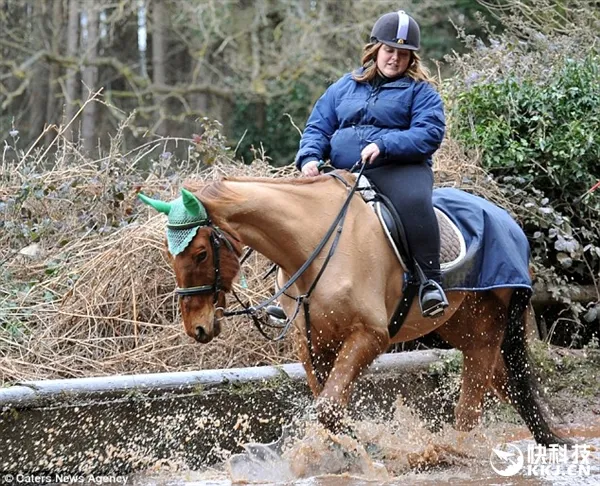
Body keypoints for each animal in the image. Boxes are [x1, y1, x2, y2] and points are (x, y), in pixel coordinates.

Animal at [141, 173, 568, 446]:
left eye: (200, 252)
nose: (197, 328)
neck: (313, 245)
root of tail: (507, 220)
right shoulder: (312, 342)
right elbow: (328, 406)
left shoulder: (369, 336)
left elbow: (329, 407)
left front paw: (366, 449)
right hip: (467, 325)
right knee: (502, 381)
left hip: (491, 323)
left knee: (473, 402)